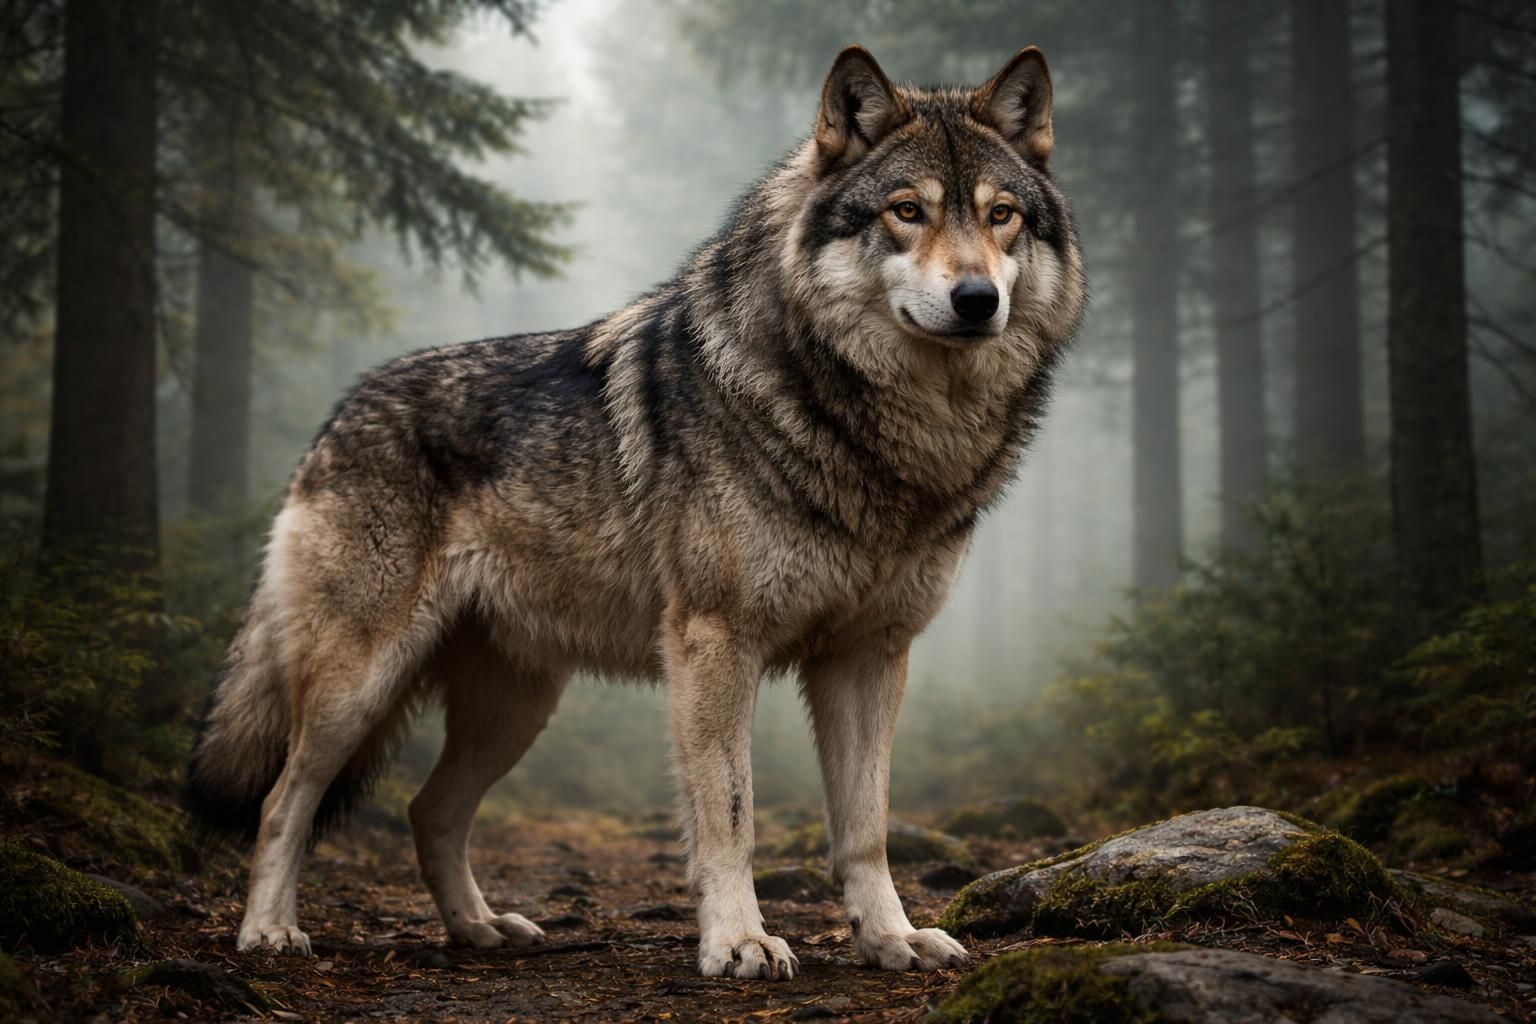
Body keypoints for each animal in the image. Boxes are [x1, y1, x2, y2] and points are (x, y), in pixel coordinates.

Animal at [185, 44, 1085, 980]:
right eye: (908, 211)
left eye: (1002, 216)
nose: (978, 299)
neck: (879, 433)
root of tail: (340, 410)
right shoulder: (715, 643)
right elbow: (731, 813)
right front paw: (740, 941)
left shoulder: (870, 656)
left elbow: (866, 827)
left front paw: (891, 937)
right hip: (357, 686)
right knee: (283, 801)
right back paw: (269, 932)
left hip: (515, 709)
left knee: (428, 811)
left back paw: (480, 929)